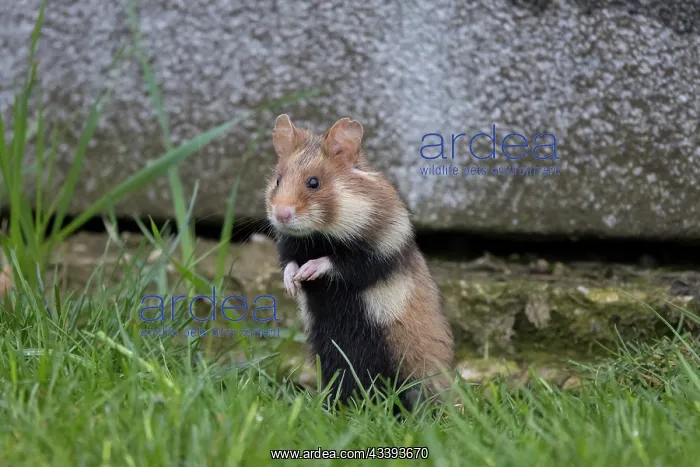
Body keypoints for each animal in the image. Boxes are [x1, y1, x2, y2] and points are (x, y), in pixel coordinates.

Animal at [265, 114, 455, 412]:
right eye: (277, 180)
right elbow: (288, 263)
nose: (281, 214)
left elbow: (338, 263)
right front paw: (292, 284)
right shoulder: (289, 245)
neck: (319, 235)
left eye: (314, 183)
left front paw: (307, 272)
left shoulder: (378, 251)